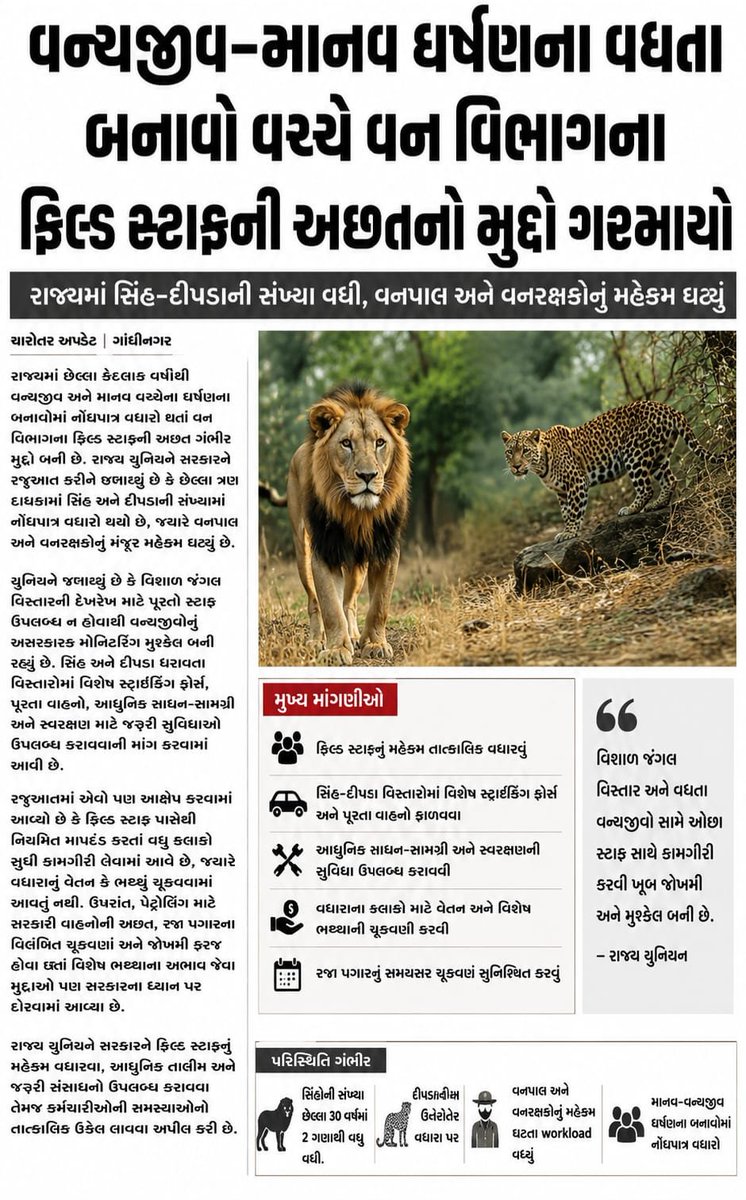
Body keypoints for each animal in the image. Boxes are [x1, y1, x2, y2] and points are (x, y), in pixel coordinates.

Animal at [285, 382, 410, 665]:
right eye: (346, 444)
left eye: (380, 442)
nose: (367, 476)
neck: (357, 514)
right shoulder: (324, 550)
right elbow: (330, 605)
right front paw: (336, 649)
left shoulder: (386, 548)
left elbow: (379, 604)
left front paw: (374, 643)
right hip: (301, 549)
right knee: (314, 601)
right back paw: (316, 641)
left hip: (357, 566)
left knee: (350, 603)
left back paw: (354, 636)